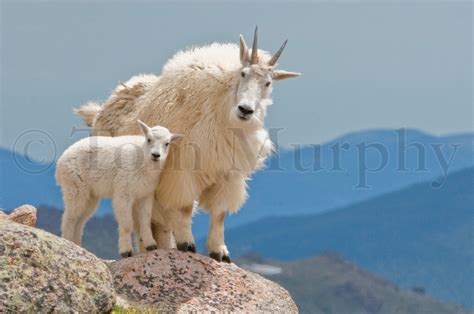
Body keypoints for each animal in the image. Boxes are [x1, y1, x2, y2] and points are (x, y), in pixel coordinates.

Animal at [77, 28, 300, 262]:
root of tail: (100, 109)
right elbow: (184, 208)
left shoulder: (227, 175)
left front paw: (219, 251)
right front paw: (187, 244)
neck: (221, 112)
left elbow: (219, 214)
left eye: (268, 83)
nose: (245, 110)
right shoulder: (183, 171)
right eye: (243, 73)